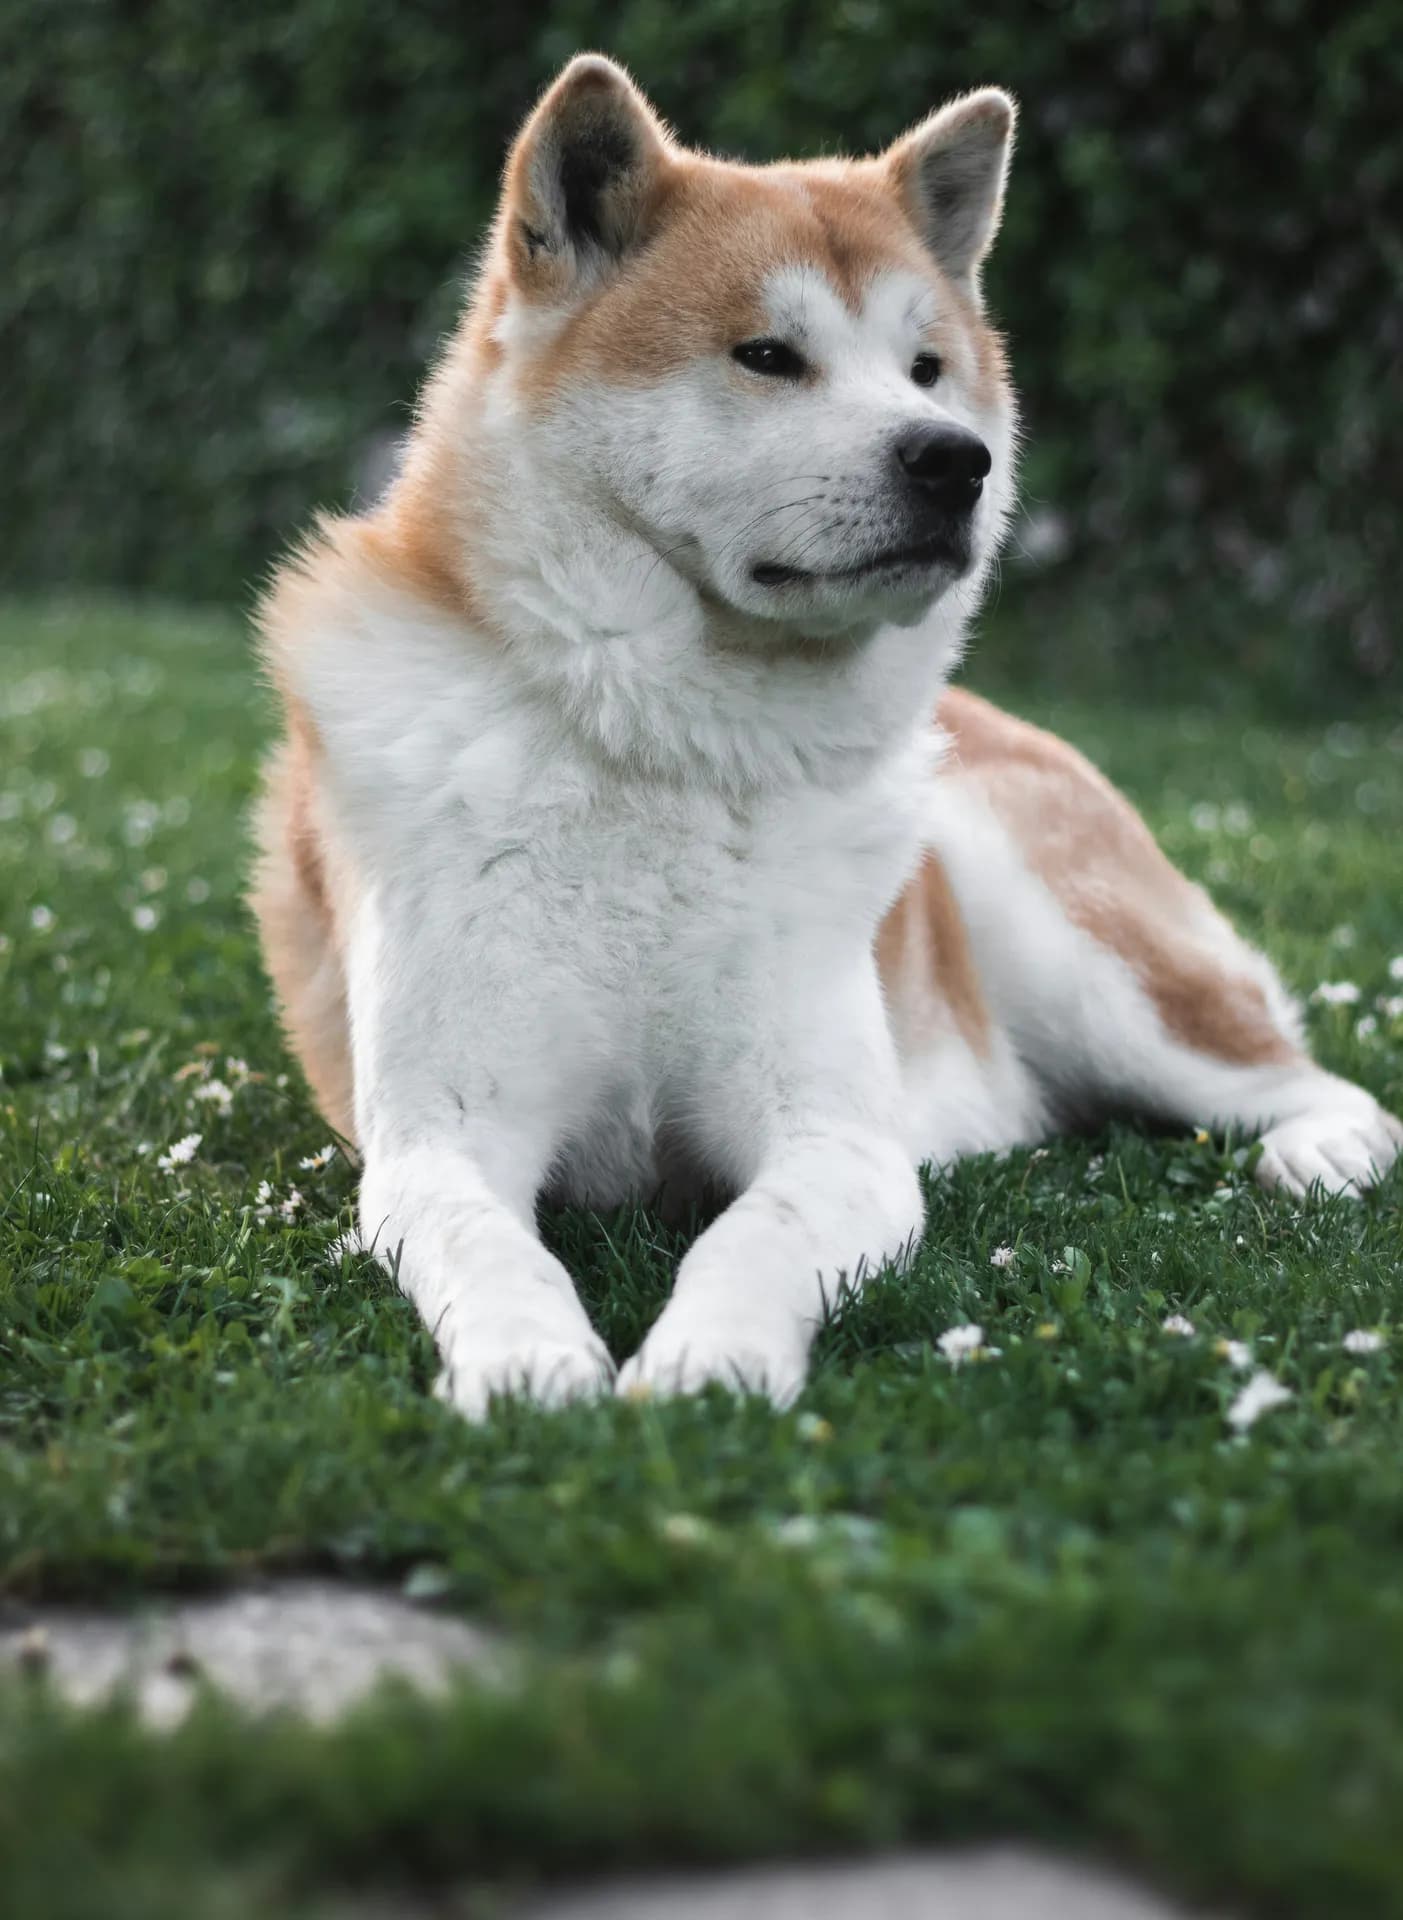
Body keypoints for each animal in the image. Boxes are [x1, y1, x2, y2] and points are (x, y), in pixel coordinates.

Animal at [253, 52, 1403, 1420]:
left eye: (924, 370)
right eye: (766, 356)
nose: (953, 461)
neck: (673, 751)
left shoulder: (833, 1137)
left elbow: (751, 1238)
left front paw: (710, 1361)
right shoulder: (442, 1141)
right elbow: (493, 1250)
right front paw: (528, 1363)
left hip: (1074, 951)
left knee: (1308, 1082)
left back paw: (1320, 1153)